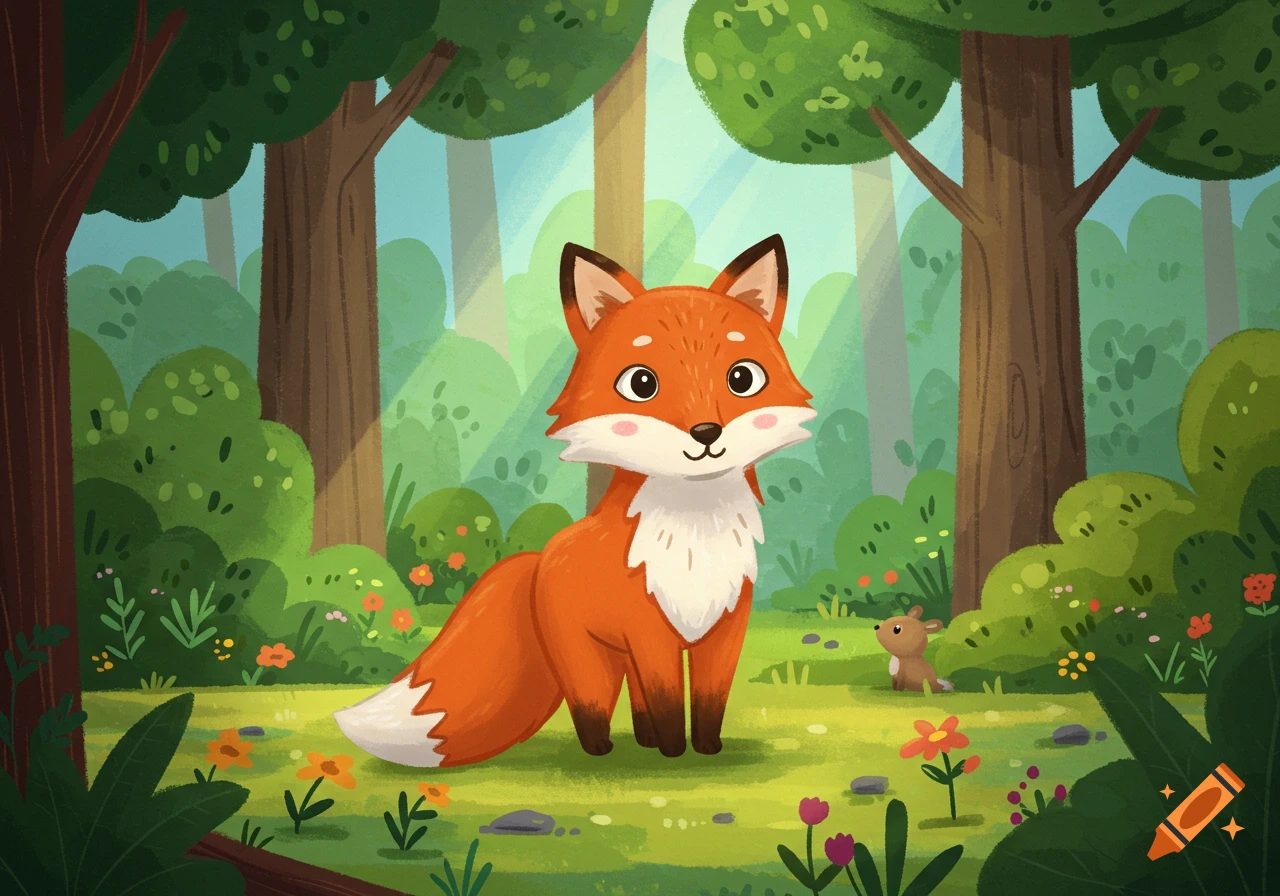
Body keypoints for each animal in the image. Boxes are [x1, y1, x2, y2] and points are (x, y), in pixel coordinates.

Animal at [333, 234, 815, 766]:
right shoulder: (650, 635)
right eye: (641, 383)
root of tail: (538, 559)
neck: (693, 534)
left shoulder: (723, 631)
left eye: (742, 378)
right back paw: (604, 749)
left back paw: (641, 742)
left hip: (619, 656)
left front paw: (707, 750)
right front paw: (675, 753)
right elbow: (670, 702)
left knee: (636, 704)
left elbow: (711, 702)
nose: (707, 433)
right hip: (590, 661)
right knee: (590, 707)